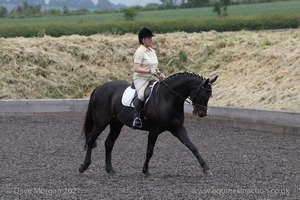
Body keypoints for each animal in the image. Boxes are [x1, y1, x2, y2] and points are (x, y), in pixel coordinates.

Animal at [78, 72, 217, 176]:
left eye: (210, 95)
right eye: (203, 94)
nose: (201, 114)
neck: (168, 98)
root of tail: (99, 88)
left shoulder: (178, 129)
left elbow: (192, 146)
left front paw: (206, 168)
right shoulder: (154, 130)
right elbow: (150, 151)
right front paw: (145, 171)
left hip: (116, 124)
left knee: (109, 143)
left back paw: (110, 170)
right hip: (101, 122)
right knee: (91, 139)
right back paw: (84, 166)